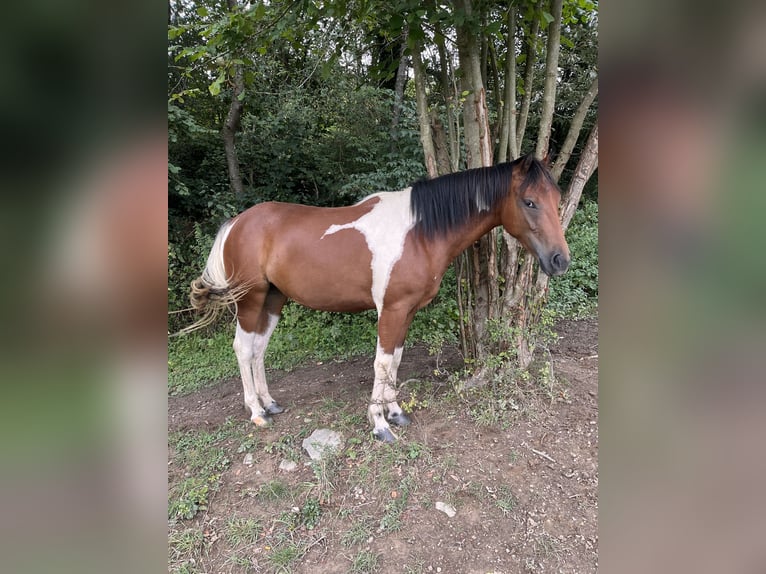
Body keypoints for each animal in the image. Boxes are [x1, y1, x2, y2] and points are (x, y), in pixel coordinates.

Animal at [184, 155, 568, 444]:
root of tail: (237, 222)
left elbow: (395, 360)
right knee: (243, 348)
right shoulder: (392, 309)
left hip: (273, 300)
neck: (420, 232)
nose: (560, 260)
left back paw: (269, 403)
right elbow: (382, 364)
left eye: (557, 200)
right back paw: (256, 412)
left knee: (259, 348)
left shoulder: (407, 310)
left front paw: (395, 412)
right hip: (251, 300)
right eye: (529, 202)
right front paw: (379, 424)